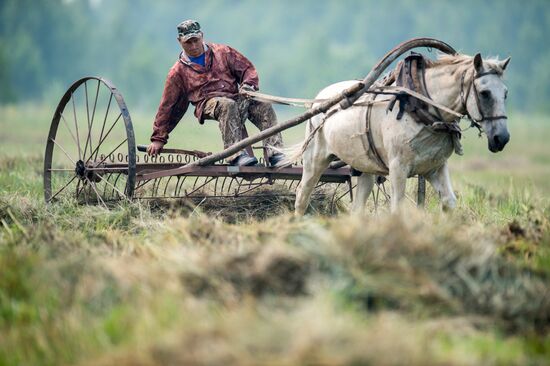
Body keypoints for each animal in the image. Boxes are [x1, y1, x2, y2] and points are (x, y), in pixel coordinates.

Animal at [288, 53, 512, 214]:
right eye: (484, 93)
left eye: (505, 93)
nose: (502, 138)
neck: (421, 108)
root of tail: (320, 99)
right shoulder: (398, 168)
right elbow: (397, 208)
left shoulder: (435, 167)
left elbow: (448, 202)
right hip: (314, 159)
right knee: (302, 196)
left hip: (366, 167)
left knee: (357, 207)